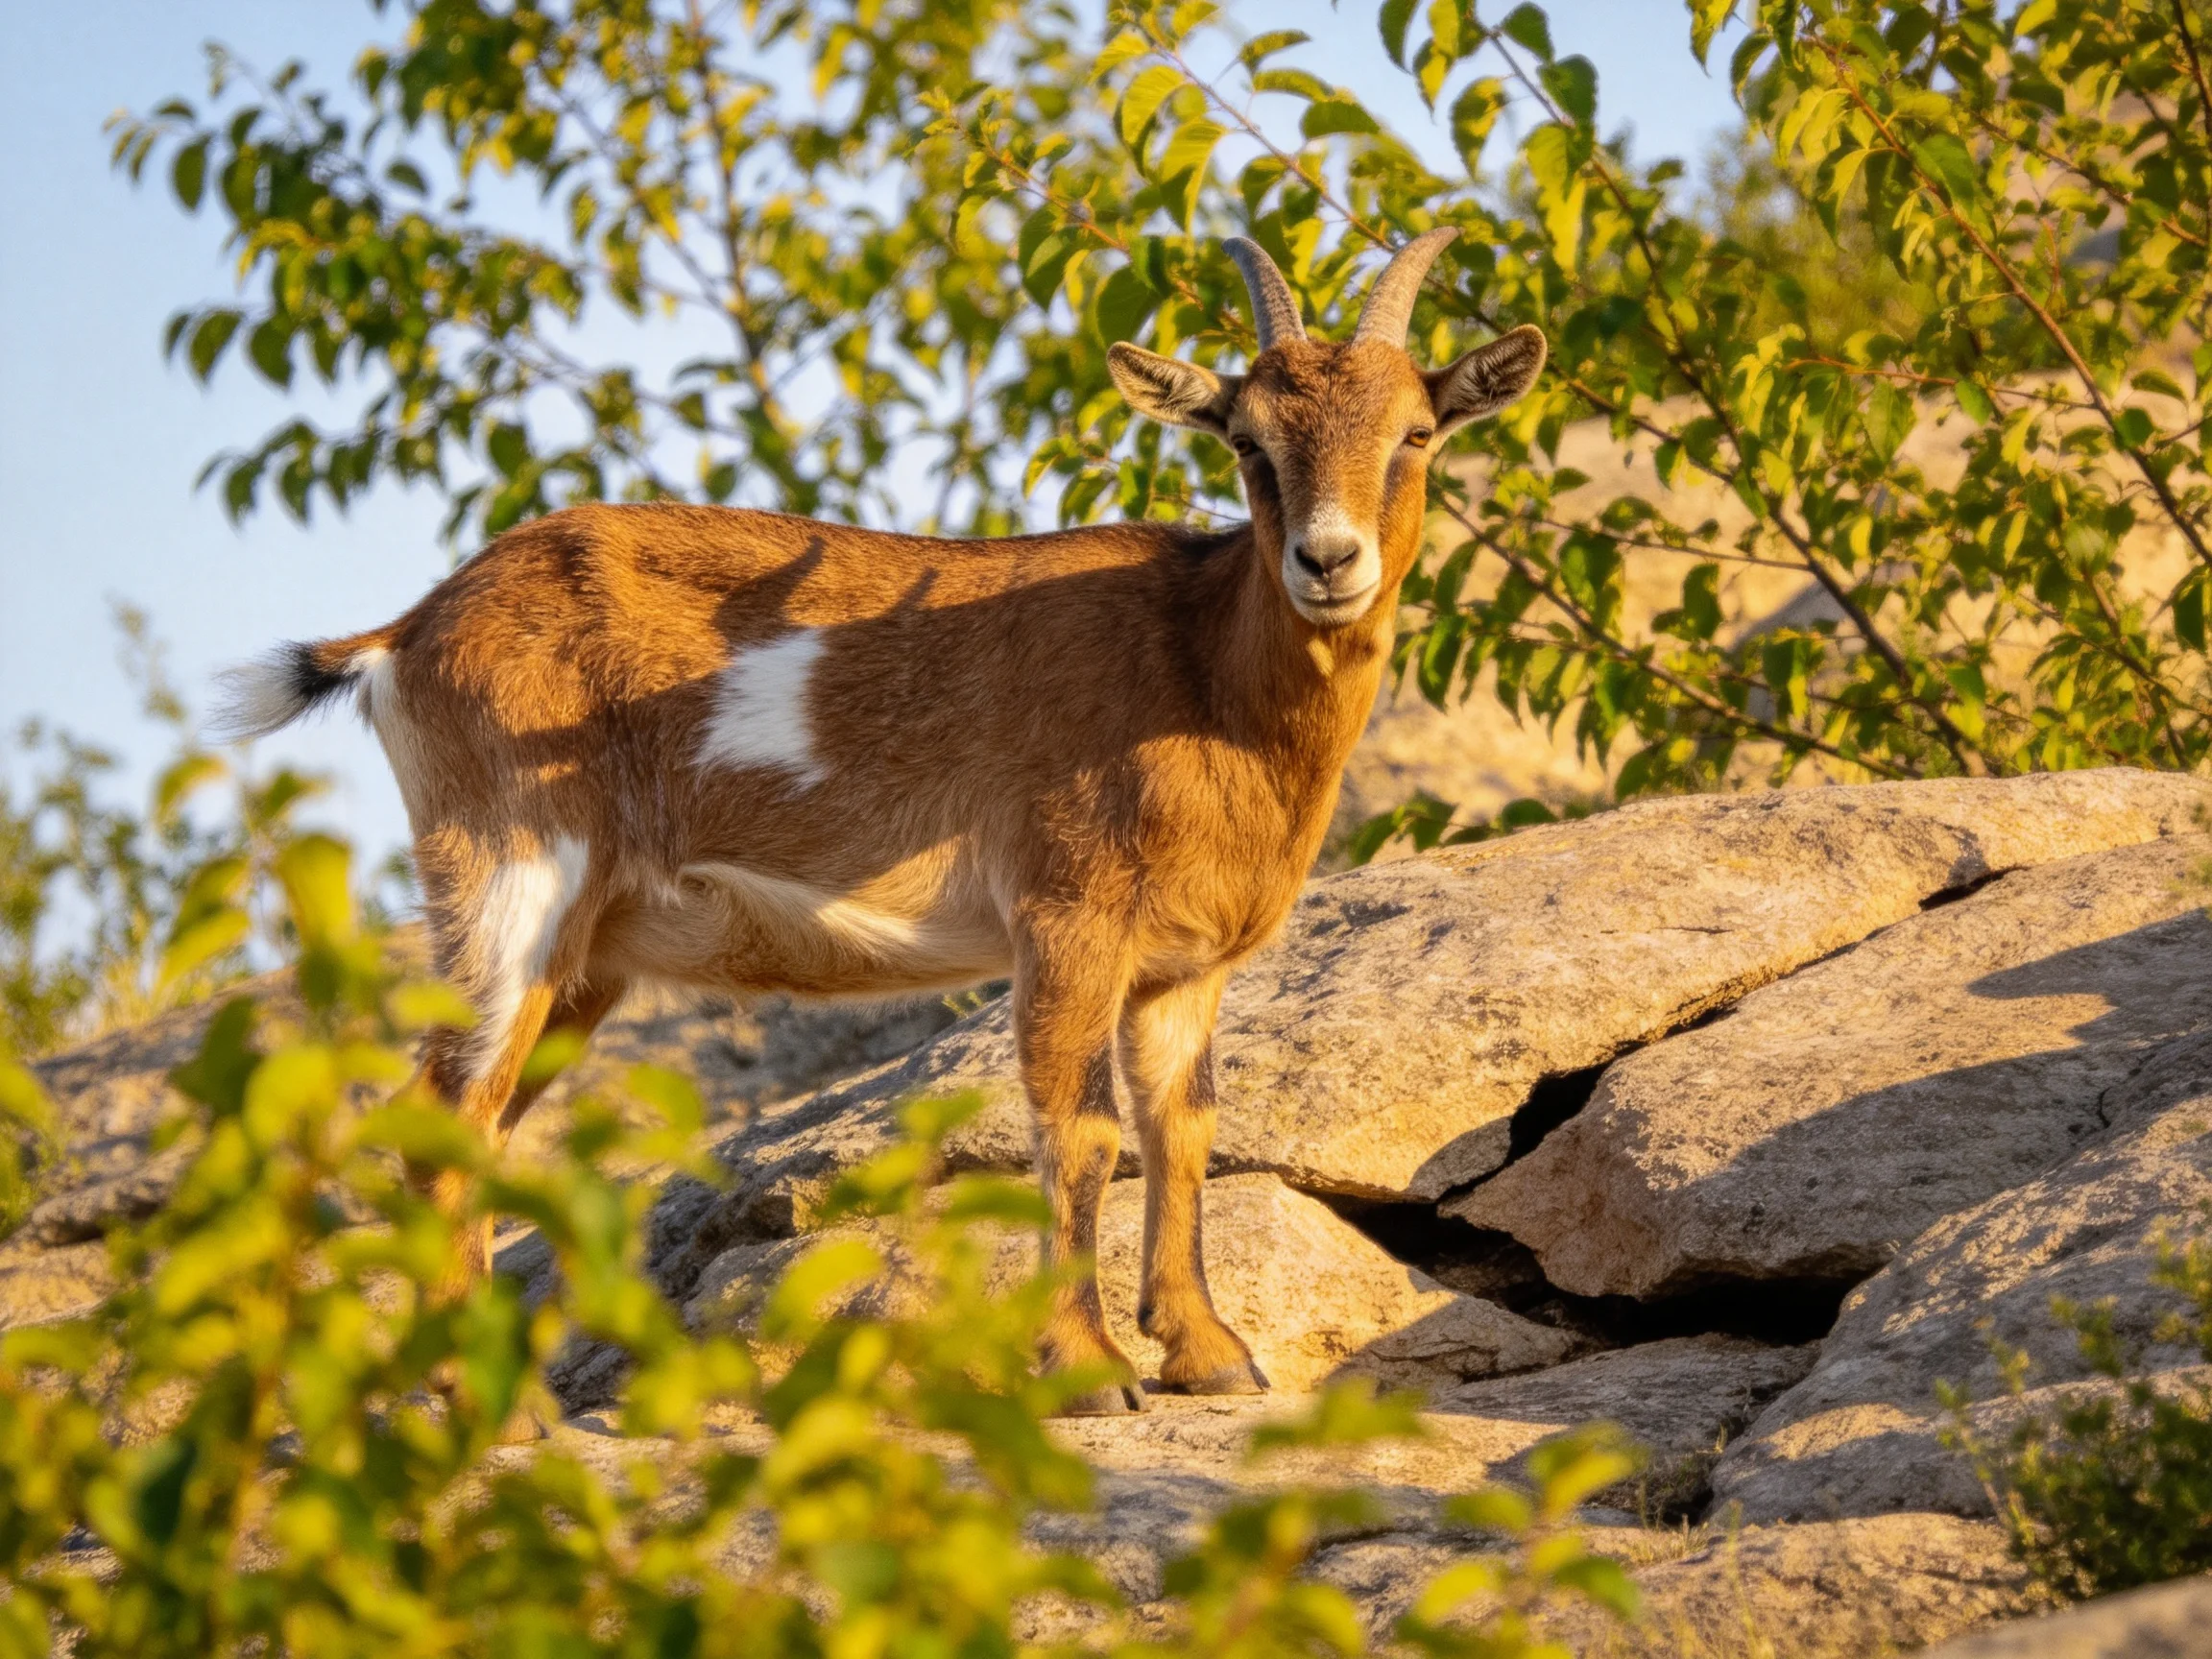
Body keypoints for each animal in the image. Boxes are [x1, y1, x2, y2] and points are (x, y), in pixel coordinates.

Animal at [216, 230, 1545, 1414]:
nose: (1329, 562)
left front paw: (1209, 1354)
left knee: (481, 1121)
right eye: (1250, 443)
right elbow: (1078, 1127)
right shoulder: (1065, 914)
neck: (1204, 672)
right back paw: (486, 1406)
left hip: (584, 950)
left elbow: (1183, 1124)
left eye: (1415, 432)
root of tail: (406, 633)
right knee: (445, 1108)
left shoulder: (1184, 964)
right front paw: (1087, 1372)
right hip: (513, 875)